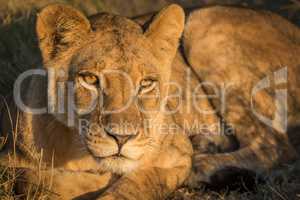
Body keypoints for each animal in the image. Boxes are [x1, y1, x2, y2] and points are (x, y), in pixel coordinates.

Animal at [0, 3, 300, 200]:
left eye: (146, 83)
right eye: (91, 79)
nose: (122, 138)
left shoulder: (174, 156)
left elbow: (134, 185)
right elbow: (25, 178)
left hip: (204, 23)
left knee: (276, 146)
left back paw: (204, 167)